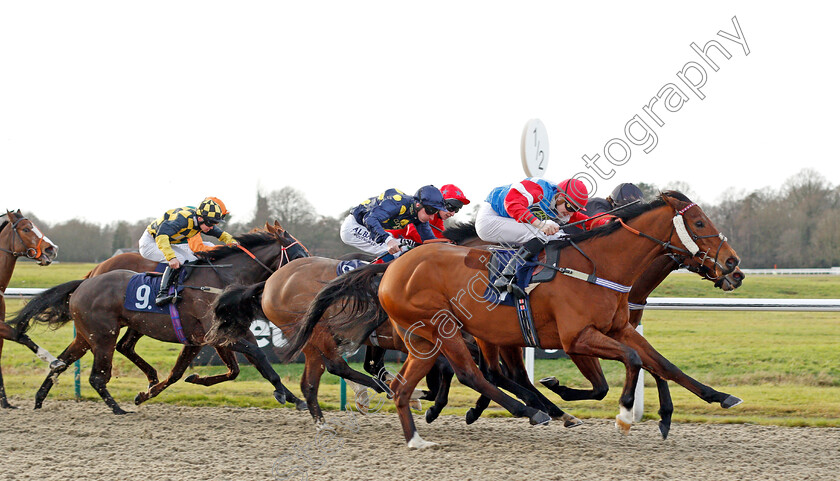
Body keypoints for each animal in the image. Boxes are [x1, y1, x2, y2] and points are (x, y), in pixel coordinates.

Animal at [8, 226, 310, 412]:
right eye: (299, 254)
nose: (312, 272)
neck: (222, 280)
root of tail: (87, 280)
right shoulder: (219, 335)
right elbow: (258, 359)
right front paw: (289, 396)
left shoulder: (206, 338)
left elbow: (205, 372)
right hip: (103, 335)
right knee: (98, 373)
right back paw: (116, 407)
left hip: (91, 334)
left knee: (63, 362)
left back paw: (39, 401)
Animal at [284, 191, 740, 446]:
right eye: (699, 221)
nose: (734, 266)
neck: (600, 265)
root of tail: (394, 266)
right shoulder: (578, 338)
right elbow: (628, 363)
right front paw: (624, 415)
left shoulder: (620, 327)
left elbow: (658, 362)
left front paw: (715, 398)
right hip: (441, 331)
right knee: (469, 373)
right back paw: (528, 410)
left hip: (442, 337)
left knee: (433, 378)